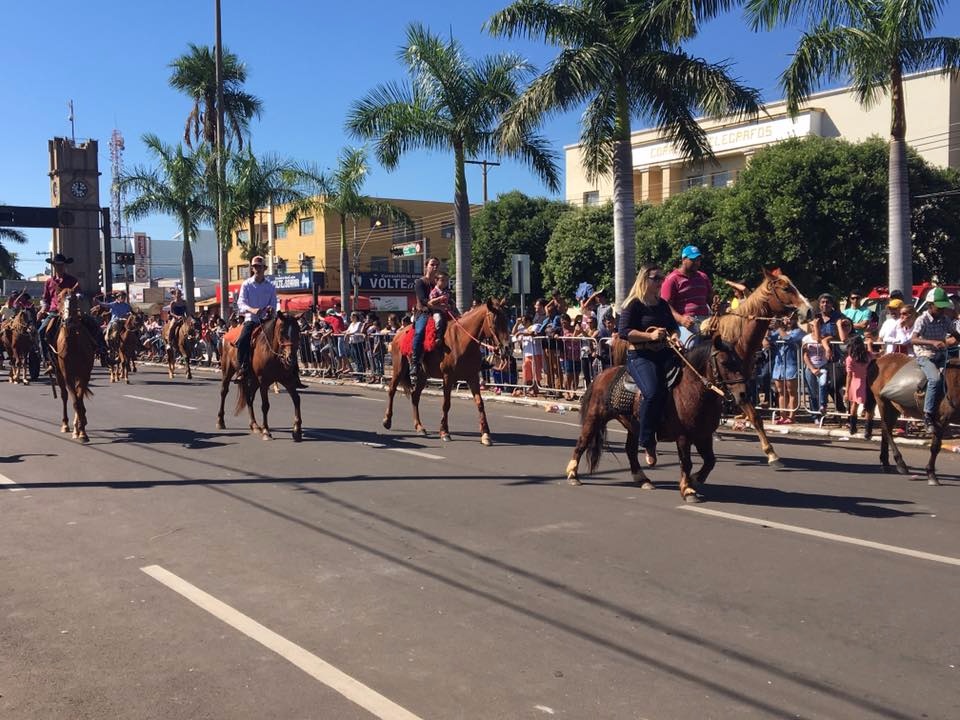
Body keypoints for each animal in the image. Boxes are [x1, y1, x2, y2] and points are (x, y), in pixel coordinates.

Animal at [48, 290, 94, 442]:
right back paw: (66, 424)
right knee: (64, 396)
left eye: (74, 299)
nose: (68, 321)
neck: (74, 345)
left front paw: (82, 431)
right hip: (59, 374)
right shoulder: (67, 375)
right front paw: (79, 430)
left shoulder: (84, 375)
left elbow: (79, 399)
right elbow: (74, 401)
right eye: (59, 300)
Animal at [218, 312, 304, 442]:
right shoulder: (263, 381)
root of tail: (226, 334)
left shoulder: (287, 380)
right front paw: (266, 431)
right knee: (224, 392)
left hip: (253, 381)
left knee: (249, 398)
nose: (291, 359)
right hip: (228, 371)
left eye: (298, 331)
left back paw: (254, 425)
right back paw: (220, 421)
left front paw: (297, 430)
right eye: (282, 332)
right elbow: (265, 405)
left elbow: (296, 399)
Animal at [384, 298, 516, 444]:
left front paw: (486, 434)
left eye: (507, 319)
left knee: (415, 396)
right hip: (399, 369)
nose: (507, 348)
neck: (463, 341)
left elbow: (479, 403)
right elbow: (446, 404)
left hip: (423, 376)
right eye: (494, 322)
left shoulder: (472, 377)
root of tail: (398, 334)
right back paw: (387, 421)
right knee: (391, 390)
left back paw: (419, 426)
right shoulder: (448, 377)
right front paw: (444, 432)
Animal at [564, 336, 752, 500]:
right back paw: (573, 475)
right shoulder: (683, 437)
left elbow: (710, 461)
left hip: (634, 426)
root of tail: (602, 375)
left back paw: (643, 479)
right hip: (594, 418)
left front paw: (694, 480)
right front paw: (688, 489)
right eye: (724, 363)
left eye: (740, 361)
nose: (743, 394)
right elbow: (687, 462)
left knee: (630, 450)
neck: (691, 390)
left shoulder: (704, 436)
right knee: (582, 443)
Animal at [864, 352, 960, 484]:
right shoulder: (941, 420)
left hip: (894, 407)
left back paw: (885, 462)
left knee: (885, 430)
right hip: (882, 401)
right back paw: (900, 463)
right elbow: (935, 447)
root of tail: (878, 359)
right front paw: (931, 474)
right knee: (886, 429)